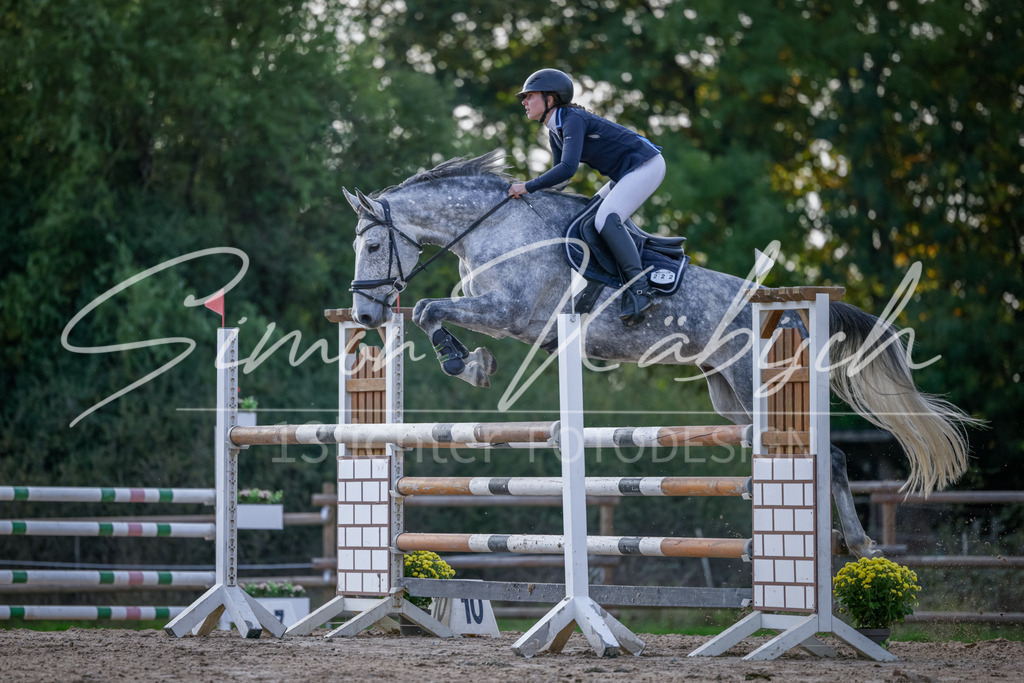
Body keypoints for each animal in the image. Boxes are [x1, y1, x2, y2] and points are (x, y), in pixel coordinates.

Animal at [343, 150, 980, 559]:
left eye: (372, 245)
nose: (367, 318)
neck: (493, 230)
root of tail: (793, 311)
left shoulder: (509, 312)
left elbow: (429, 310)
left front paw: (469, 364)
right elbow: (430, 312)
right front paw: (470, 362)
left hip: (756, 387)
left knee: (836, 458)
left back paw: (862, 544)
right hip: (730, 399)